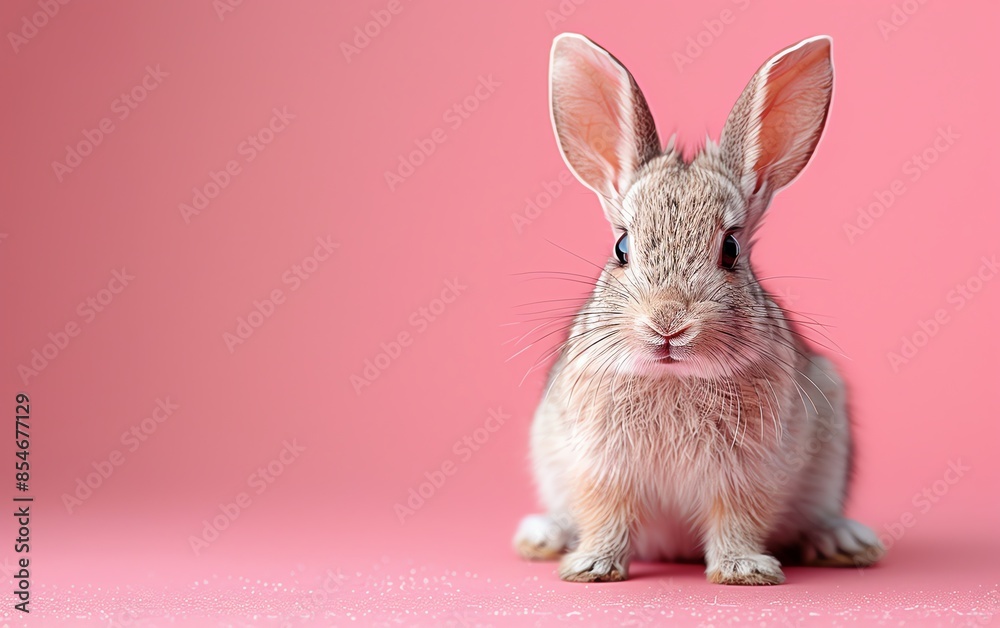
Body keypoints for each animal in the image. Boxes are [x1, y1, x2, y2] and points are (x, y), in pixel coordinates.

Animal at [512, 33, 884, 585]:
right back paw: (543, 536)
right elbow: (606, 513)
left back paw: (842, 540)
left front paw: (743, 571)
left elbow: (737, 517)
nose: (668, 323)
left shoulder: (749, 470)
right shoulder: (599, 463)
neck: (674, 375)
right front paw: (592, 567)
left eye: (731, 249)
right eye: (621, 247)